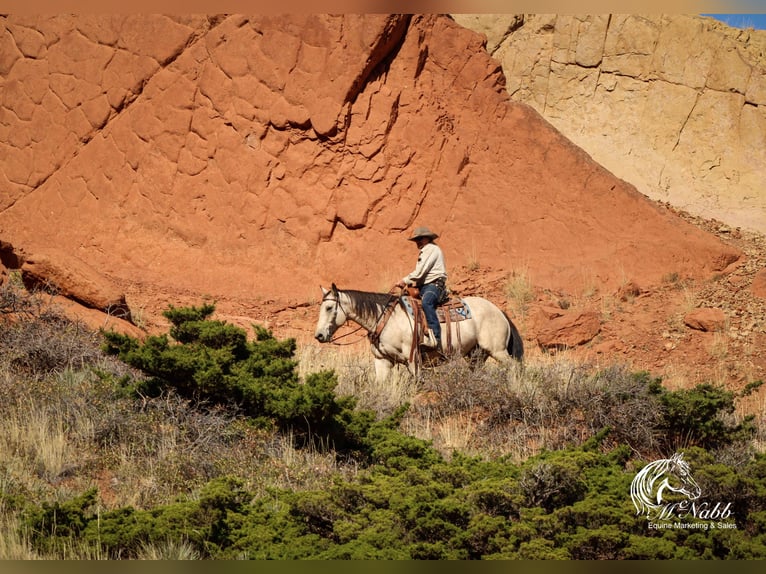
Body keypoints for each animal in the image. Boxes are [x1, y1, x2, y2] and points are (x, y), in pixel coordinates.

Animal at [312, 282, 520, 382]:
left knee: (514, 368)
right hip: (476, 355)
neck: (387, 319)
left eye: (329, 308)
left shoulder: (413, 359)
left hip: (498, 351)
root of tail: (500, 311)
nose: (319, 336)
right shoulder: (382, 360)